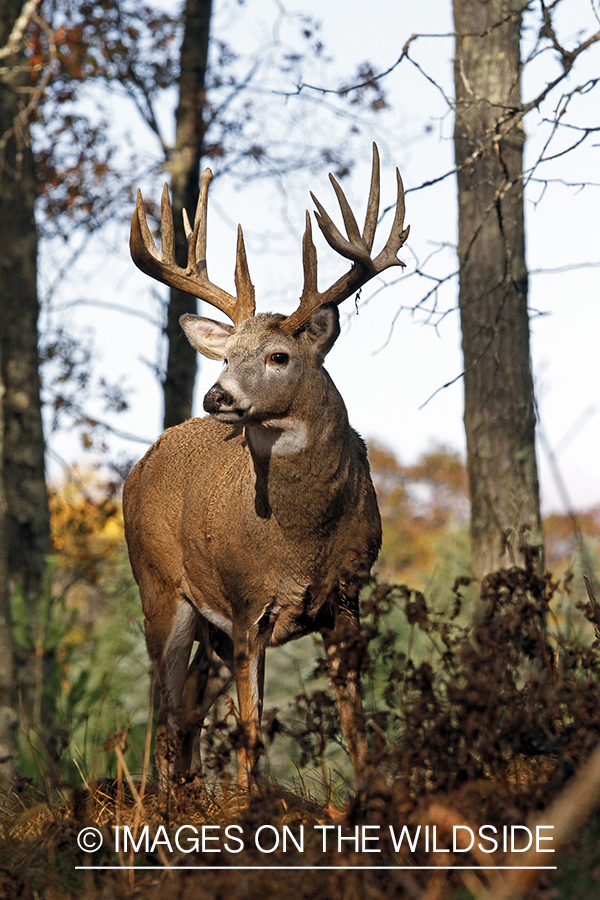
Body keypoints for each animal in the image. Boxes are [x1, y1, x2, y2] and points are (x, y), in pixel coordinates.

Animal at [124, 142, 410, 796]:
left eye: (279, 356)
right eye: (227, 356)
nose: (217, 396)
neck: (302, 539)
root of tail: (139, 465)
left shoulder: (347, 597)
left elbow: (355, 723)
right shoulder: (245, 602)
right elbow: (252, 730)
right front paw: (248, 805)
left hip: (210, 632)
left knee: (188, 703)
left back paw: (190, 792)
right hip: (160, 587)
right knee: (163, 702)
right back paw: (165, 800)